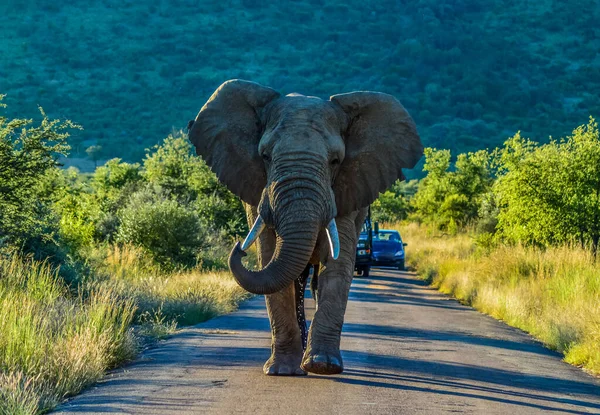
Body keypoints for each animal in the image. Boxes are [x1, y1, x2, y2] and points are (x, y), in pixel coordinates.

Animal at [188, 79, 422, 378]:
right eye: (265, 156)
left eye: (335, 161)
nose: (238, 248)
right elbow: (269, 256)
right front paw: (281, 371)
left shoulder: (348, 191)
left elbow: (337, 264)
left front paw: (323, 366)